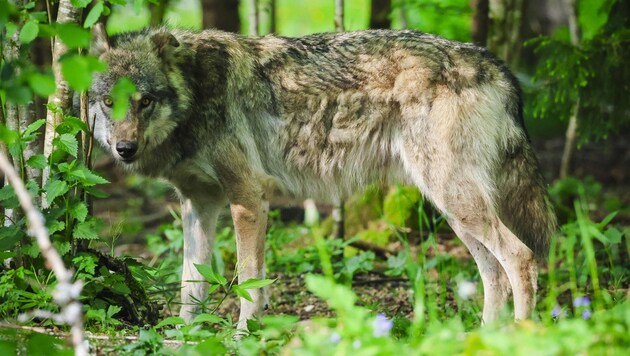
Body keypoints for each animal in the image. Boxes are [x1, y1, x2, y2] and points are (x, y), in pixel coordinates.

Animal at [90, 26, 556, 330]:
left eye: (145, 101)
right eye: (109, 102)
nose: (124, 149)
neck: (194, 91)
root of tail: (496, 64)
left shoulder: (247, 198)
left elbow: (249, 282)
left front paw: (243, 337)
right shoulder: (198, 205)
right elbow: (191, 285)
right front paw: (185, 337)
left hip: (454, 199)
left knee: (520, 257)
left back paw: (520, 336)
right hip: (455, 210)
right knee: (493, 272)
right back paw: (483, 339)